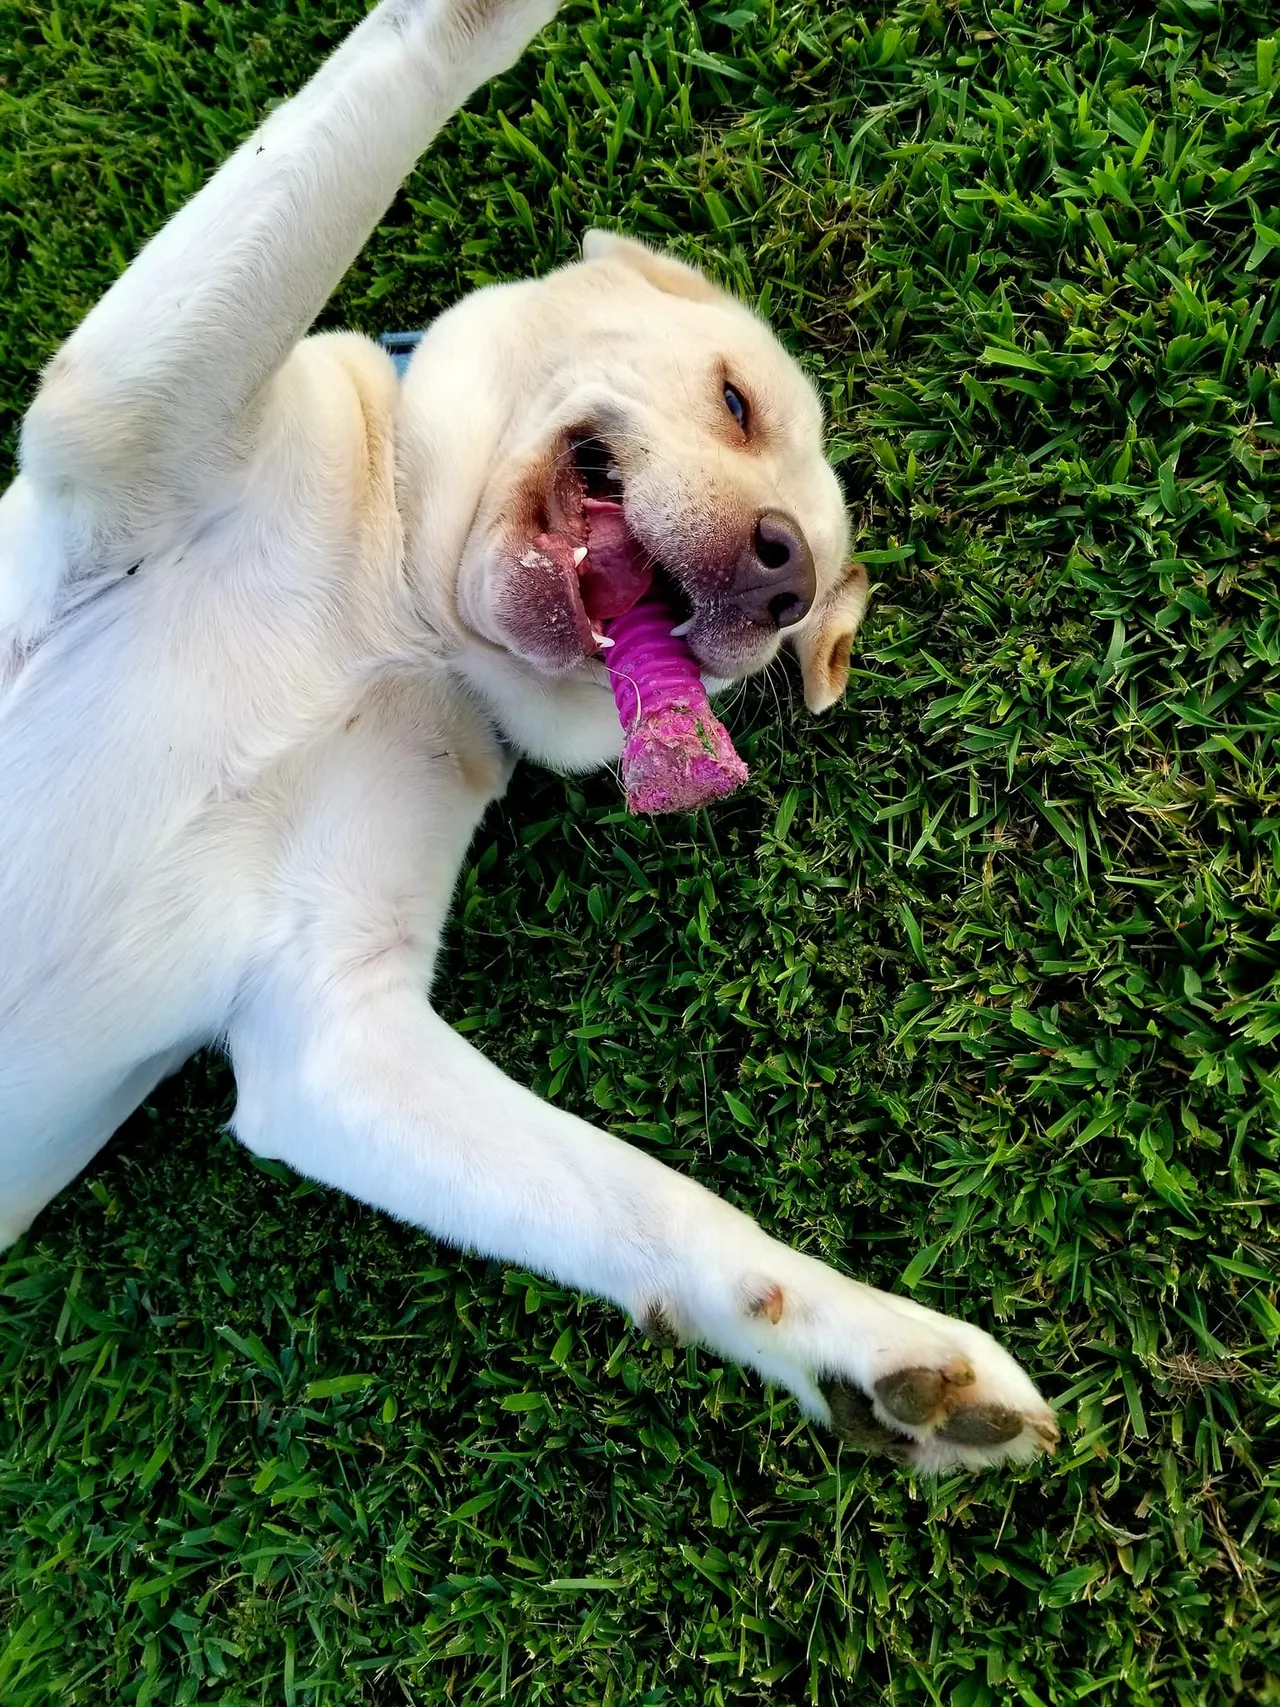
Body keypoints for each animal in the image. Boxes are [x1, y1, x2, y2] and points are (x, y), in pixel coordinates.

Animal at [0, 0, 1064, 1468]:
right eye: (736, 402)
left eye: (794, 629)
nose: (784, 583)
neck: (397, 608)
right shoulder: (115, 431)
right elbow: (429, 47)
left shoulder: (331, 1028)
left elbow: (660, 1205)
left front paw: (866, 1346)